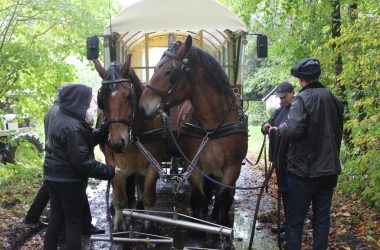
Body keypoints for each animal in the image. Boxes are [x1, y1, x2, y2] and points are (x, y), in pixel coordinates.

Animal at [93, 55, 167, 231]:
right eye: (101, 99)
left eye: (128, 96)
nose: (116, 143)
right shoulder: (116, 168)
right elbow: (120, 199)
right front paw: (120, 227)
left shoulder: (153, 167)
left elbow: (149, 197)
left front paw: (148, 226)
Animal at [138, 35, 248, 229]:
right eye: (155, 68)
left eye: (169, 72)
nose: (142, 107)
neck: (212, 125)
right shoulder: (194, 168)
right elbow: (197, 199)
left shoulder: (232, 169)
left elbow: (224, 199)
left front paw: (221, 222)